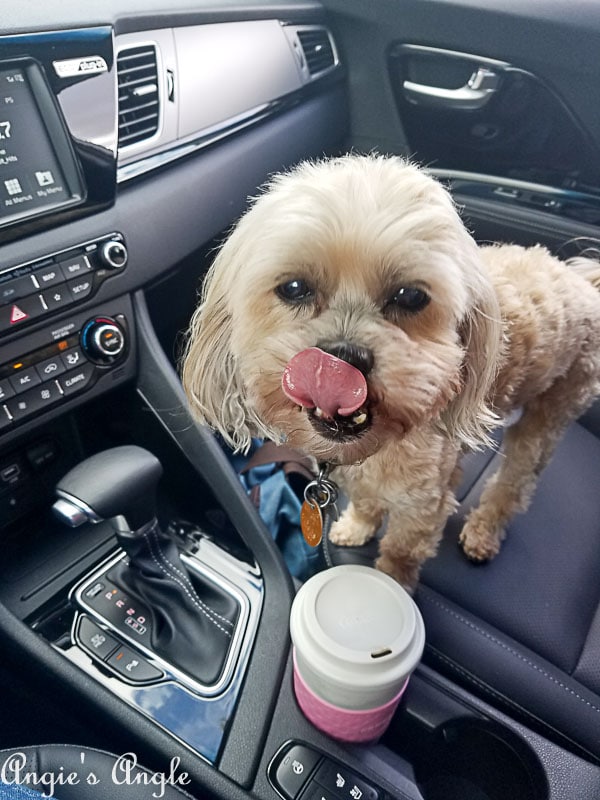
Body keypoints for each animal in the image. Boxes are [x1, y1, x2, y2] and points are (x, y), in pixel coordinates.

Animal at [180, 155, 600, 588]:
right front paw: (356, 526)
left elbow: (401, 550)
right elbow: (366, 501)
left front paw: (392, 582)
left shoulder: (423, 503)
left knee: (515, 482)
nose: (341, 360)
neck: (374, 445)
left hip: (554, 410)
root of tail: (584, 279)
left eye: (411, 296)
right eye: (294, 288)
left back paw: (483, 531)